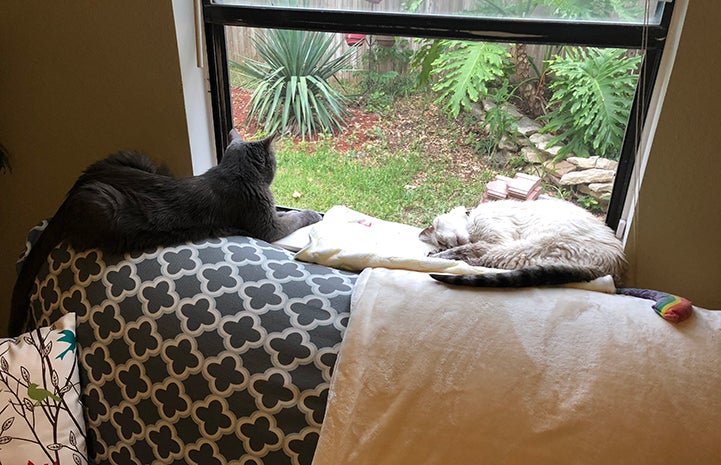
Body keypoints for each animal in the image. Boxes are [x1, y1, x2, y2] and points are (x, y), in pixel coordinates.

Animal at [9, 130, 320, 334]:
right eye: (274, 161)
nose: (276, 166)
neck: (233, 173)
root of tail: (77, 187)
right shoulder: (268, 224)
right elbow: (292, 218)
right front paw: (313, 214)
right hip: (103, 202)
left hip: (134, 157)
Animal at [420, 198, 628, 288]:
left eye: (441, 240)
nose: (447, 246)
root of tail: (611, 268)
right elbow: (467, 248)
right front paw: (437, 253)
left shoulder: (497, 241)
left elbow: (467, 247)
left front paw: (439, 254)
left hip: (532, 244)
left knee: (487, 261)